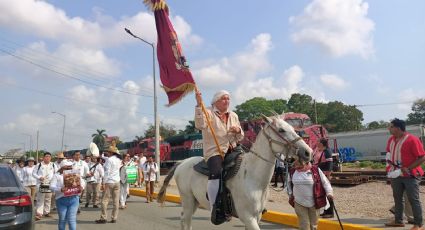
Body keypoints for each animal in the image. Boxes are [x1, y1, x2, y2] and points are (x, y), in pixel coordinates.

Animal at [157, 116, 312, 229]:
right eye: (281, 130)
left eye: (292, 127)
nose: (308, 152)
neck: (253, 177)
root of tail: (182, 163)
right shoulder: (248, 217)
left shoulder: (256, 217)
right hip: (188, 199)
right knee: (186, 219)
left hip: (194, 201)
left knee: (184, 219)